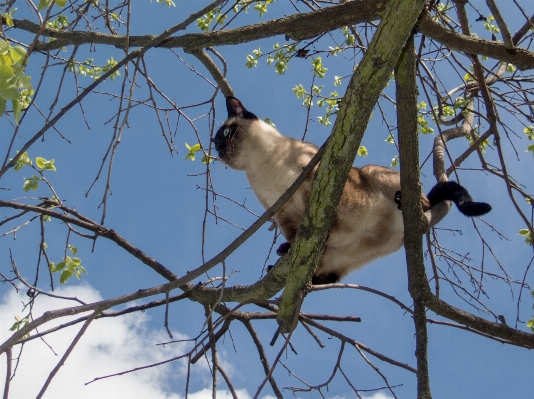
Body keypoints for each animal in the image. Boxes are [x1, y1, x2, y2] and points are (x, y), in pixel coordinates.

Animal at [214, 96, 494, 284]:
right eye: (216, 144)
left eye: (227, 132)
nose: (220, 151)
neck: (263, 166)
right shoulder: (281, 213)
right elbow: (293, 235)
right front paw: (288, 249)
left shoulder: (317, 178)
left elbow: (322, 210)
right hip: (344, 257)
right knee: (328, 277)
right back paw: (286, 266)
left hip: (373, 173)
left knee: (424, 201)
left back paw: (407, 201)